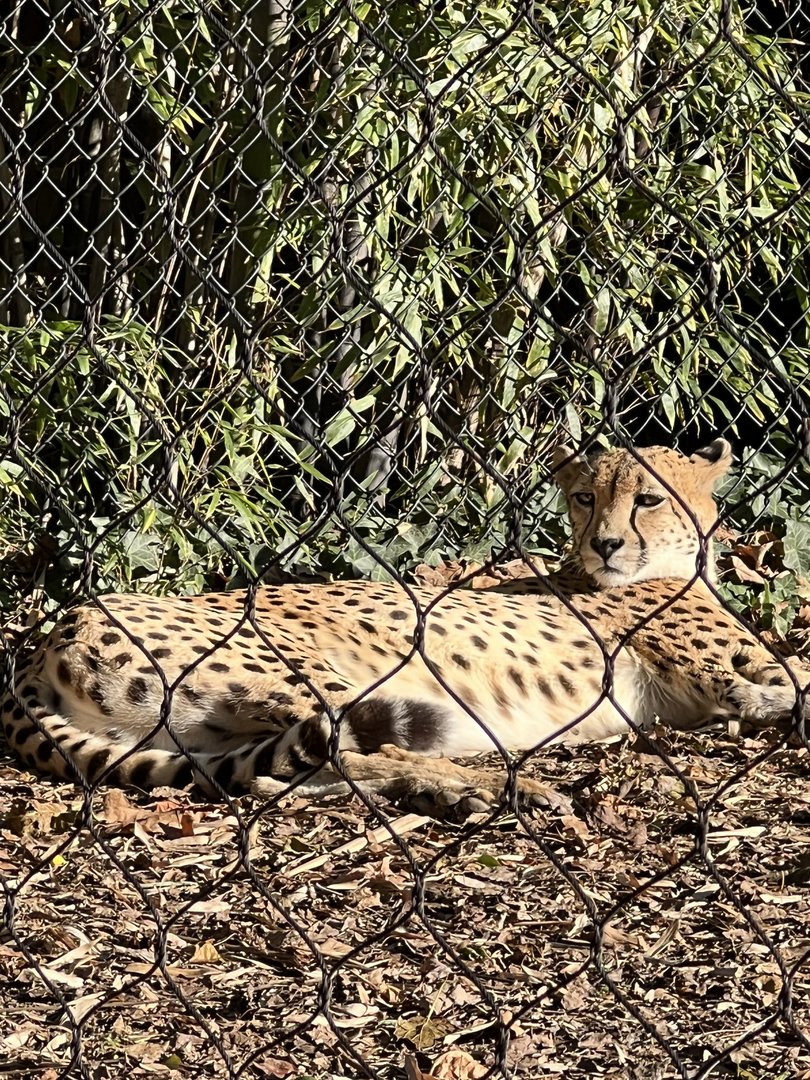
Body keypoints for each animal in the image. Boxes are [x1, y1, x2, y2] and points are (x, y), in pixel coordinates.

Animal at [2, 437, 806, 816]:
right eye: (584, 497)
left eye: (647, 498)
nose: (604, 544)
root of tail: (44, 638)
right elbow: (790, 679)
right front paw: (763, 707)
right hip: (306, 671)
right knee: (350, 749)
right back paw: (492, 789)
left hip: (200, 734)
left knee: (276, 779)